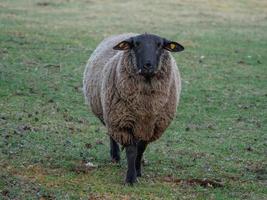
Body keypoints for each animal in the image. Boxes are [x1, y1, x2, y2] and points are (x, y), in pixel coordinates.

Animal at [83, 32, 184, 184]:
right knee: (111, 134)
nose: (148, 65)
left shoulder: (151, 126)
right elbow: (131, 150)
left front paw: (138, 171)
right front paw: (131, 178)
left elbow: (141, 149)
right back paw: (115, 156)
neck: (145, 105)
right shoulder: (123, 123)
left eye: (160, 45)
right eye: (136, 44)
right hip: (110, 114)